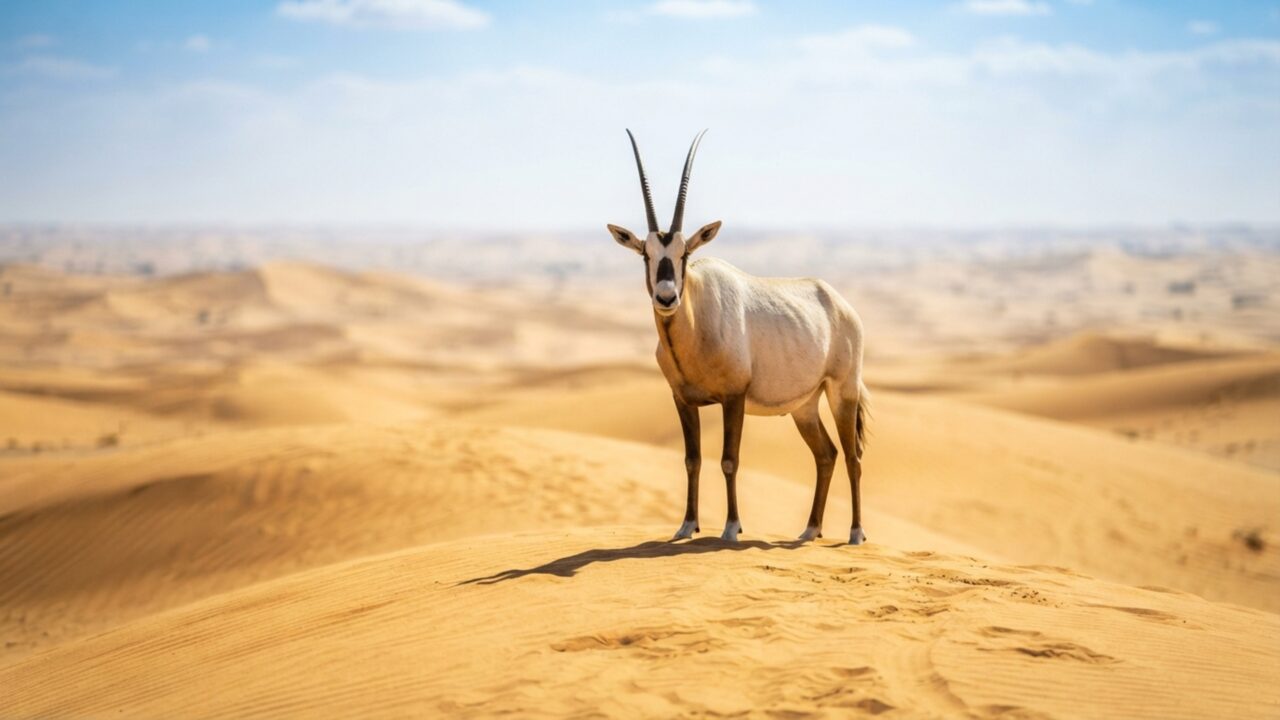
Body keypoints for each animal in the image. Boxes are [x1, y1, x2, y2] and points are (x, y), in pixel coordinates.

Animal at [608, 130, 870, 545]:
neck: (696, 323)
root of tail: (841, 305)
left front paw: (731, 528)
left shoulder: (734, 397)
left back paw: (856, 533)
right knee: (825, 454)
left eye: (684, 254)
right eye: (646, 254)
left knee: (852, 457)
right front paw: (687, 525)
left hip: (842, 391)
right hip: (805, 406)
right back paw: (809, 529)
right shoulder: (682, 400)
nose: (666, 297)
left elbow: (730, 460)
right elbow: (692, 460)